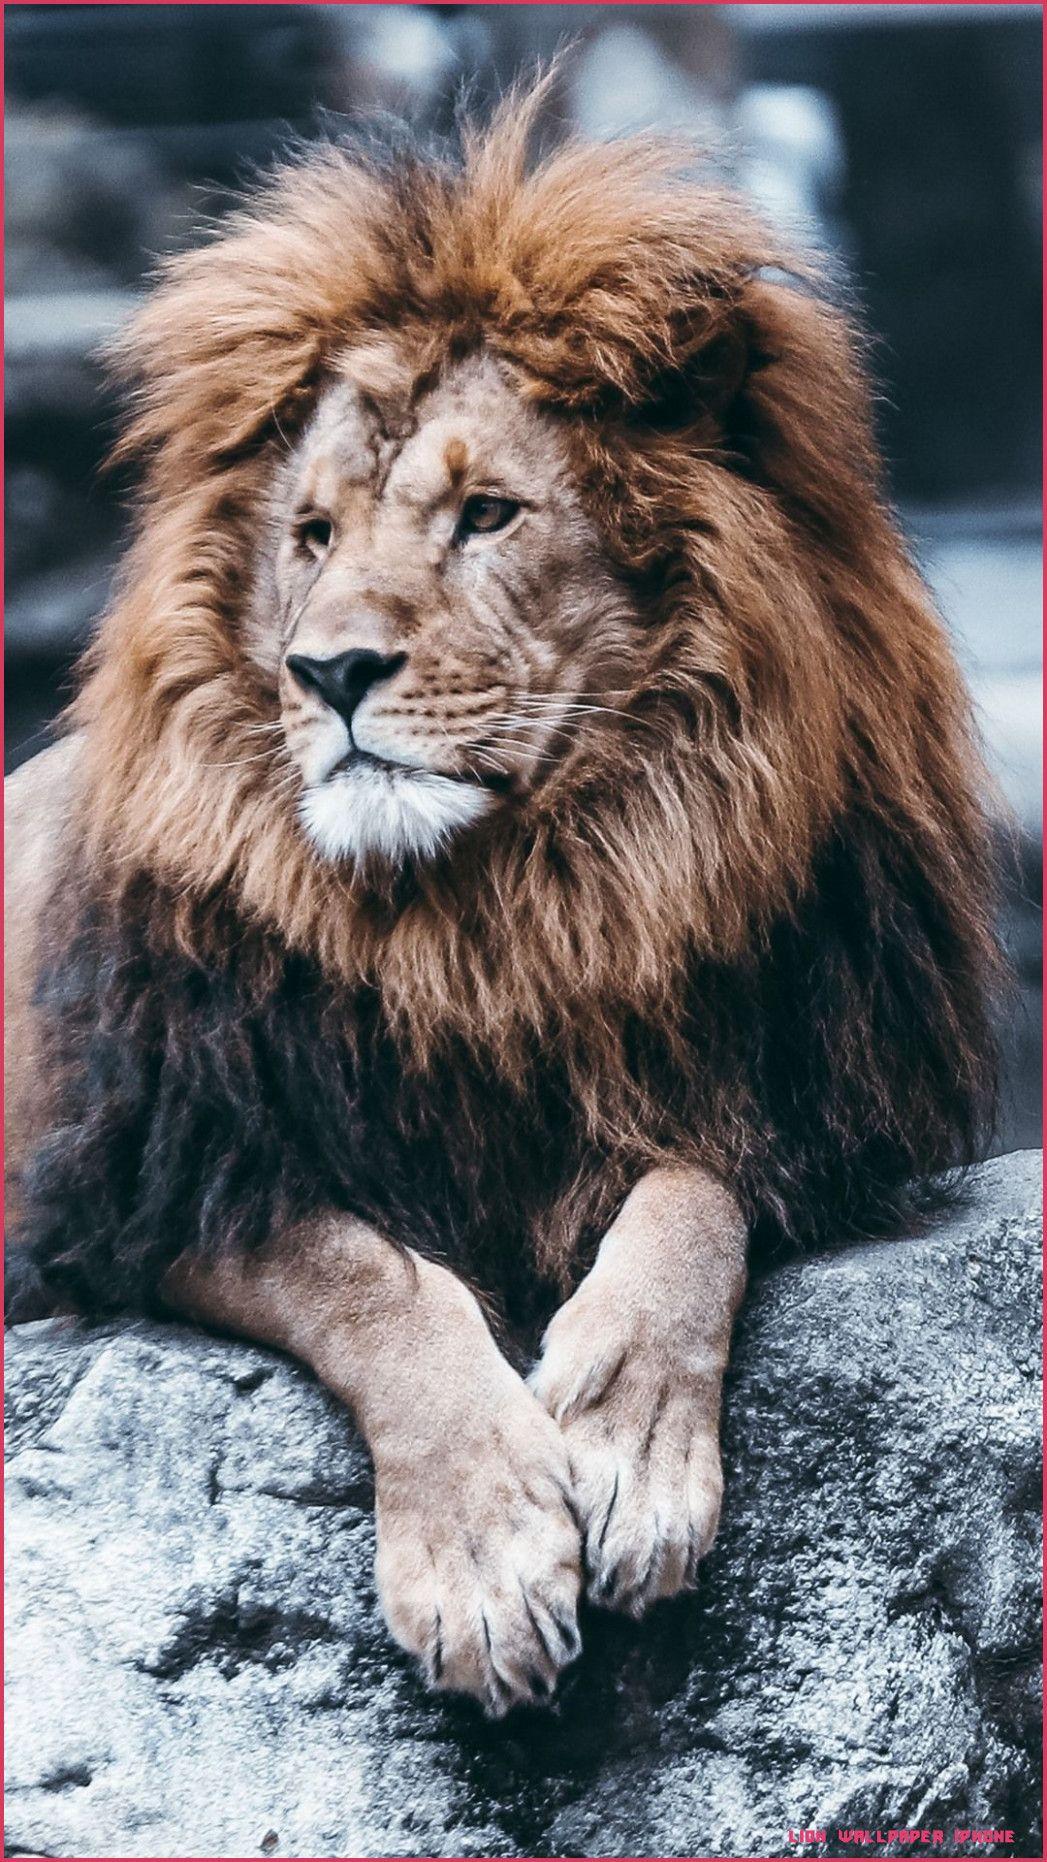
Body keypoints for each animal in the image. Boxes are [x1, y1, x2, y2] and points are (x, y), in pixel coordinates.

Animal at [5, 90, 1001, 1715]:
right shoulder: (150, 1174)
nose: (328, 669)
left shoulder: (796, 1086)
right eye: (312, 535)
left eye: (486, 514)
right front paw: (480, 1549)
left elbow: (691, 1197)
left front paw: (624, 1440)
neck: (502, 910)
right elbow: (365, 1275)